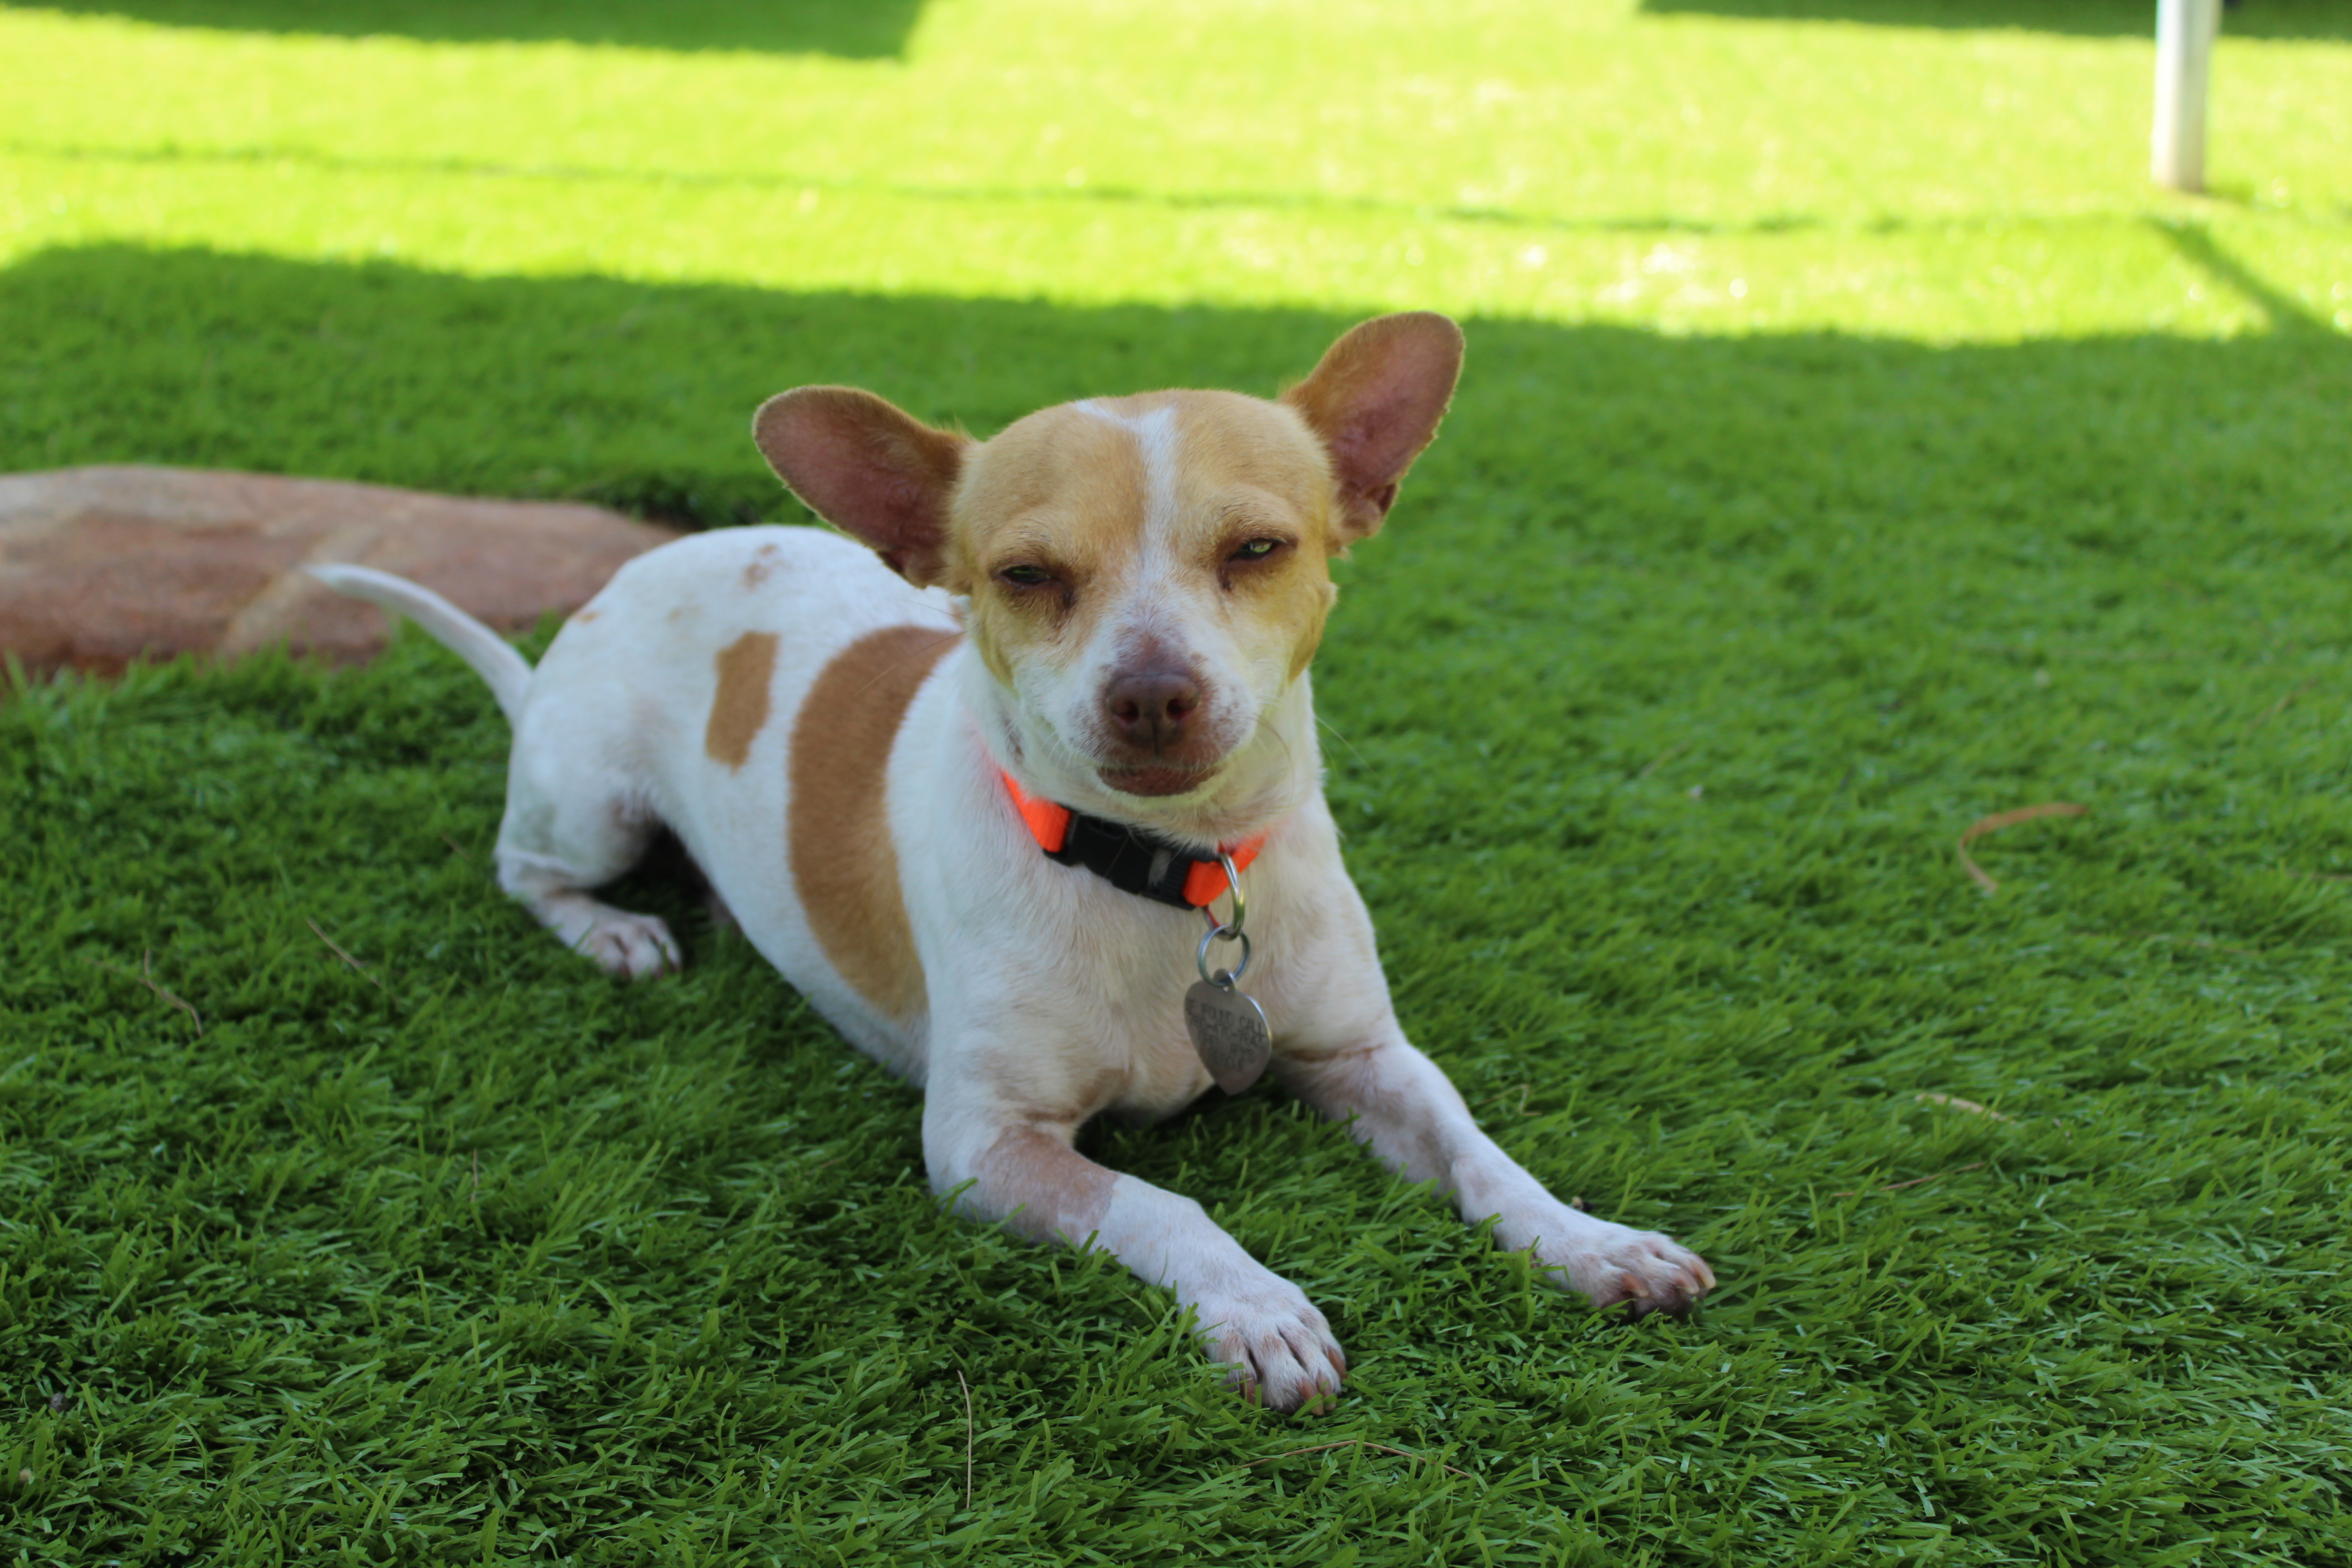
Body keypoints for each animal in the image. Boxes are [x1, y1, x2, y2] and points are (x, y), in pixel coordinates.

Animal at [308, 313, 1712, 1420]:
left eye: (1258, 550)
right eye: (1027, 575)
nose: (1151, 689)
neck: (1165, 877)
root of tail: (606, 594)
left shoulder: (1365, 1055)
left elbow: (1483, 1155)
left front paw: (1588, 1240)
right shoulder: (987, 1143)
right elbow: (1159, 1204)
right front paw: (1254, 1304)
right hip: (591, 804)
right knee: (523, 868)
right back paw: (613, 929)